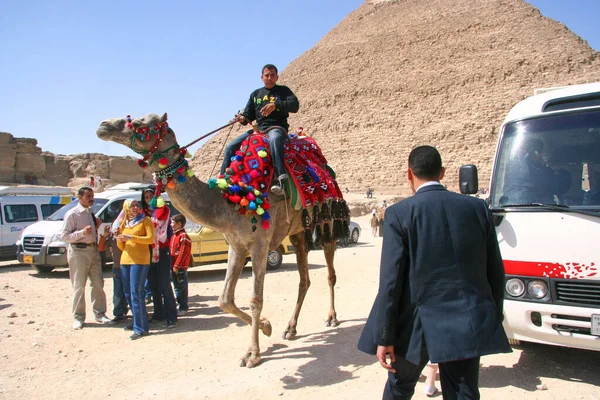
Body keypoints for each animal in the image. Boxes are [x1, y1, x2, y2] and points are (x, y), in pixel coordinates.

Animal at [96, 111, 344, 366]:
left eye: (139, 123)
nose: (103, 125)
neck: (235, 199)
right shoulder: (236, 244)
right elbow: (224, 299)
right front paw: (267, 327)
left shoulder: (260, 244)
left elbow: (255, 299)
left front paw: (252, 354)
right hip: (297, 231)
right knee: (304, 277)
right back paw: (291, 328)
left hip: (327, 217)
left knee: (330, 268)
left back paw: (332, 317)